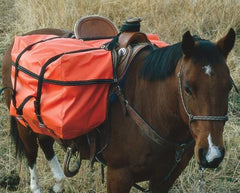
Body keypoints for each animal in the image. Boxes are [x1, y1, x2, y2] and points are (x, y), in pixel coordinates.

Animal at [0, 27, 235, 193]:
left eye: (229, 86)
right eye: (187, 88)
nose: (212, 154)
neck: (152, 108)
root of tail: (18, 40)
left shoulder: (165, 178)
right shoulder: (119, 176)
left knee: (46, 142)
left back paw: (59, 181)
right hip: (23, 122)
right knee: (32, 153)